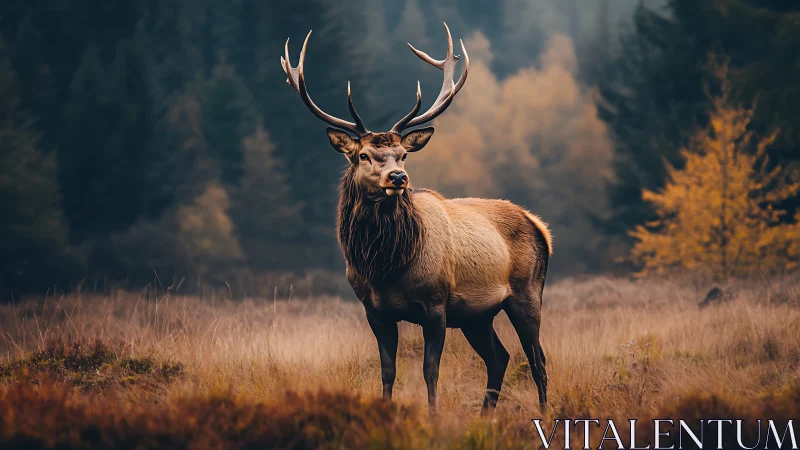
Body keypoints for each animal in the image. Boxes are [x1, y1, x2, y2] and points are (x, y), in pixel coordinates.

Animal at [280, 23, 552, 415]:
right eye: (363, 155)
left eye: (403, 154)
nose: (398, 178)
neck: (387, 266)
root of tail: (539, 225)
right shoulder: (374, 310)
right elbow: (388, 370)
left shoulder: (436, 304)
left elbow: (430, 370)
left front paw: (434, 416)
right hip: (477, 315)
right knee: (499, 357)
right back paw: (485, 417)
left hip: (527, 291)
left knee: (537, 359)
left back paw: (544, 413)